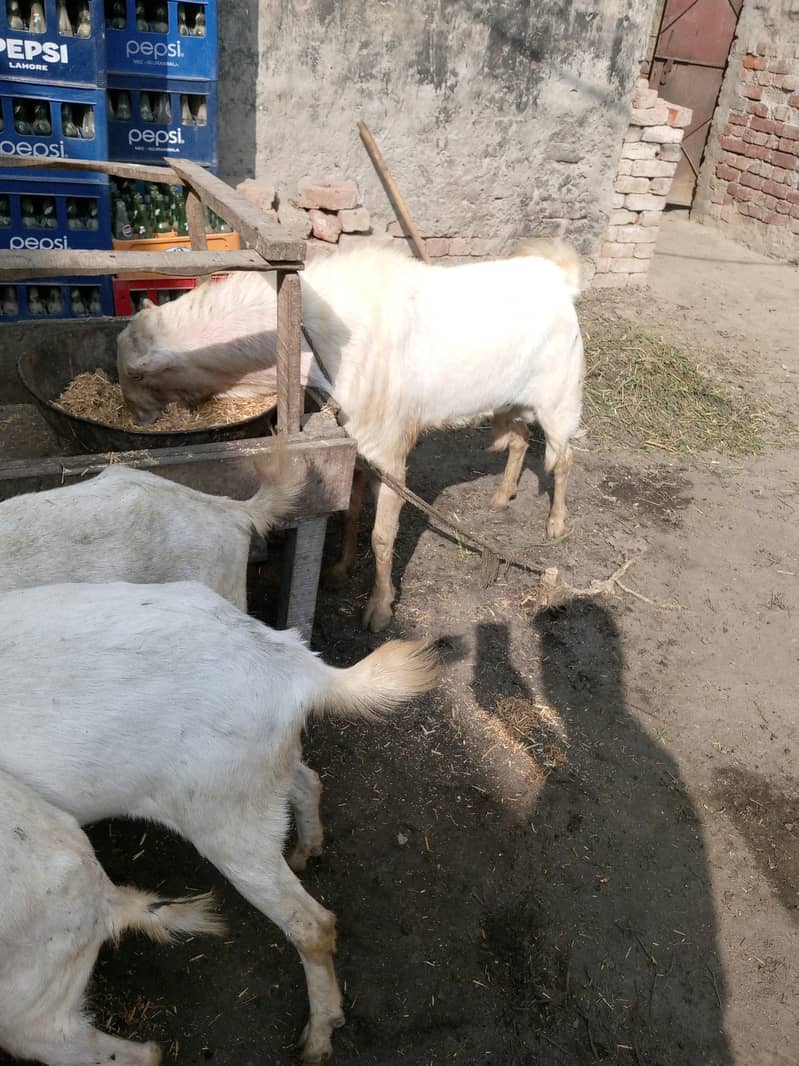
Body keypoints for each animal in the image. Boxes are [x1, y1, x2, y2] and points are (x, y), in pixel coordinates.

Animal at [117, 241, 584, 632]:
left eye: (135, 376)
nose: (135, 419)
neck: (317, 339)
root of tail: (558, 274)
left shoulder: (389, 453)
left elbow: (381, 536)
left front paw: (379, 609)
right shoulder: (354, 448)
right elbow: (351, 512)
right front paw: (340, 571)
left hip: (558, 399)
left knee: (564, 458)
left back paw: (556, 523)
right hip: (510, 402)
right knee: (520, 440)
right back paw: (502, 497)